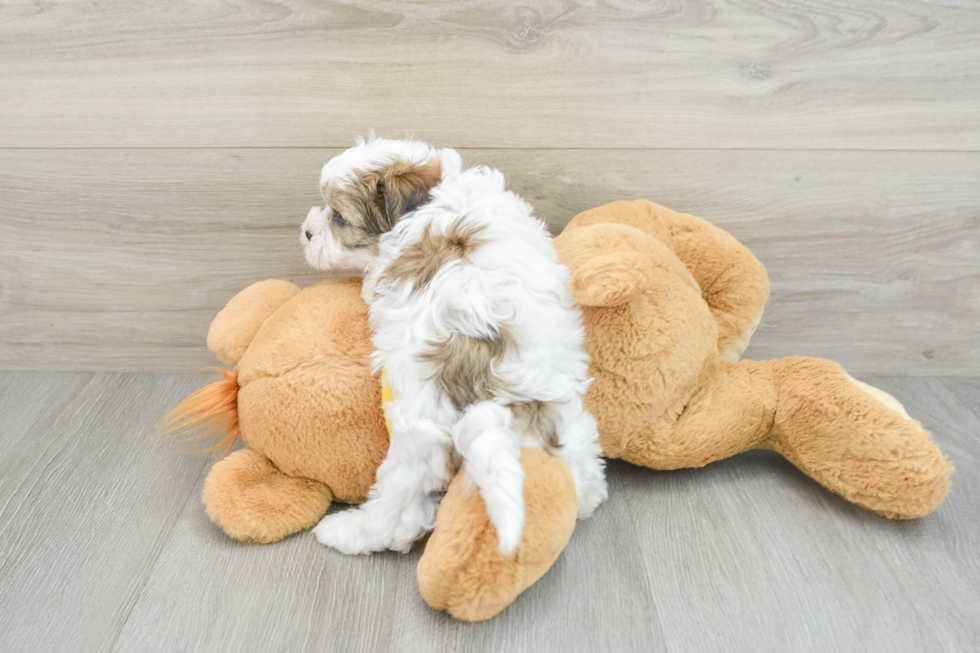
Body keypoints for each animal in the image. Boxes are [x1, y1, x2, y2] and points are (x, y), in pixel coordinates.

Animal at [302, 138, 604, 556]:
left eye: (339, 217)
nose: (306, 231)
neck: (435, 195)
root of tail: (497, 396)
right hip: (563, 410)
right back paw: (584, 494)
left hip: (418, 430)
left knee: (400, 506)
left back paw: (349, 531)